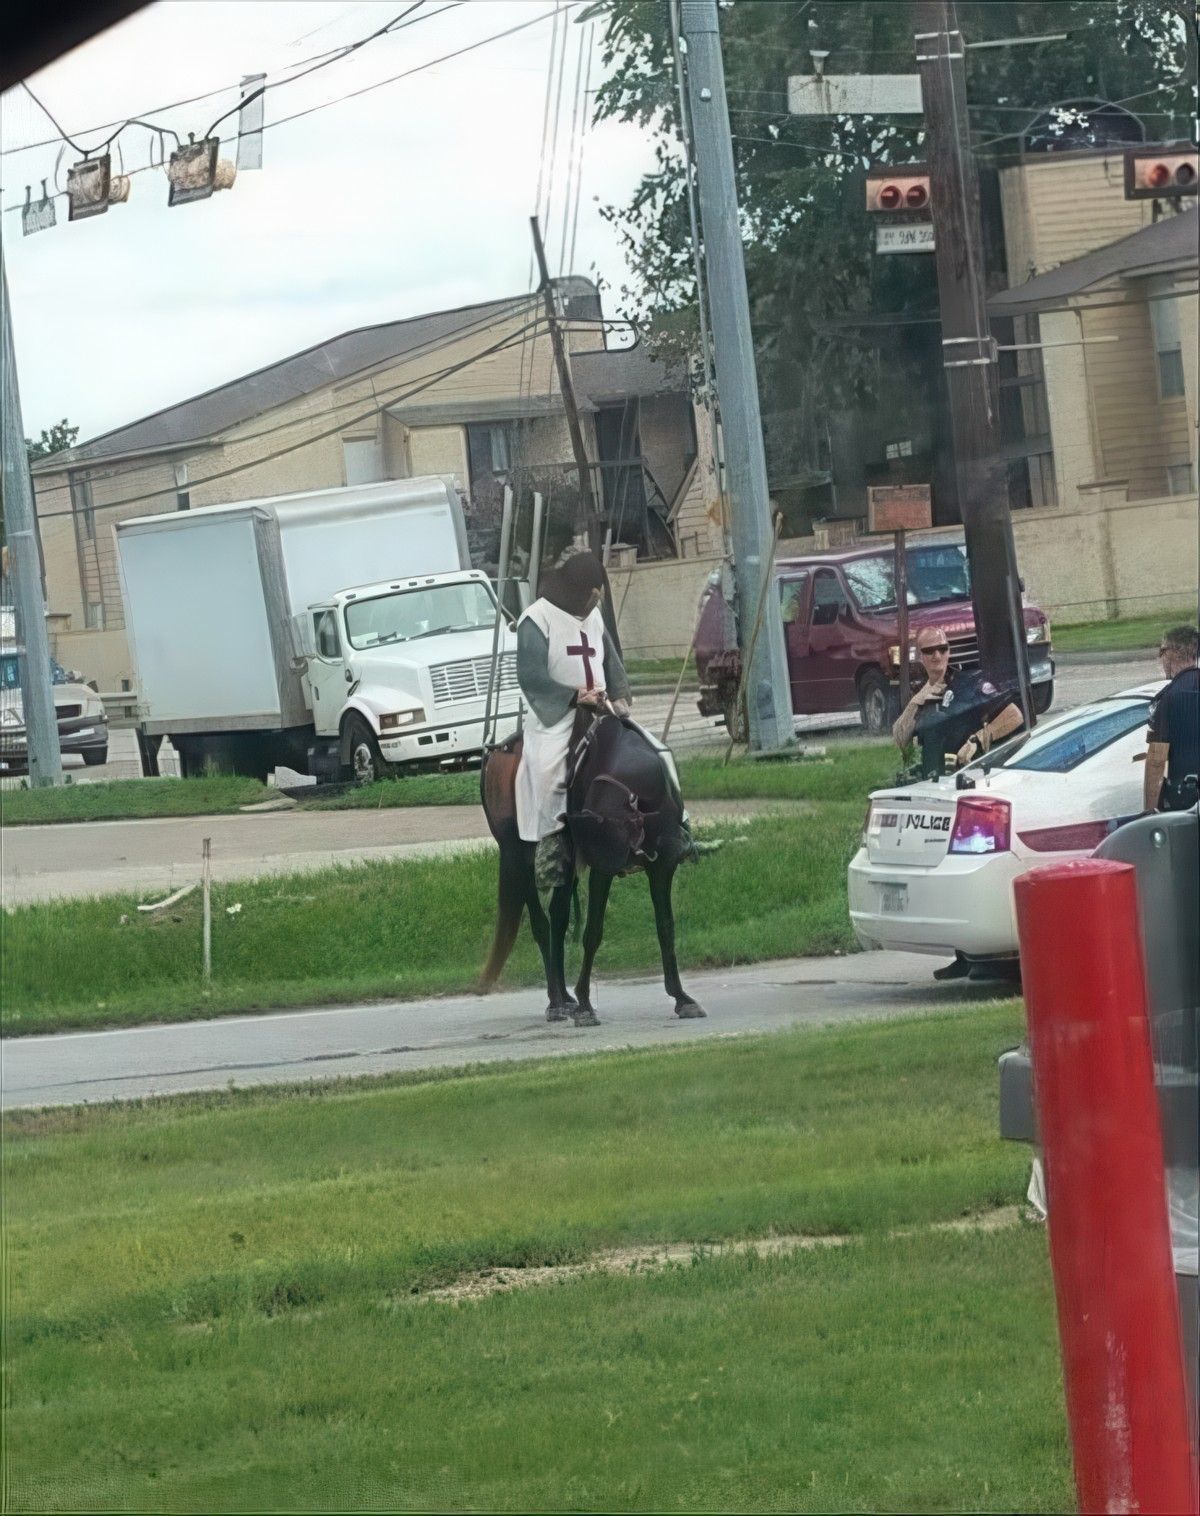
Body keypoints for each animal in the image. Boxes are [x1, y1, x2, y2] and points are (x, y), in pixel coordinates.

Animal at [478, 712, 703, 1030]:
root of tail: (497, 754)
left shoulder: (661, 867)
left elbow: (665, 926)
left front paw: (682, 997)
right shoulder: (602, 868)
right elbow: (593, 932)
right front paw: (585, 1004)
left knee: (558, 917)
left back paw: (563, 997)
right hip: (517, 855)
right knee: (541, 923)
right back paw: (556, 1002)